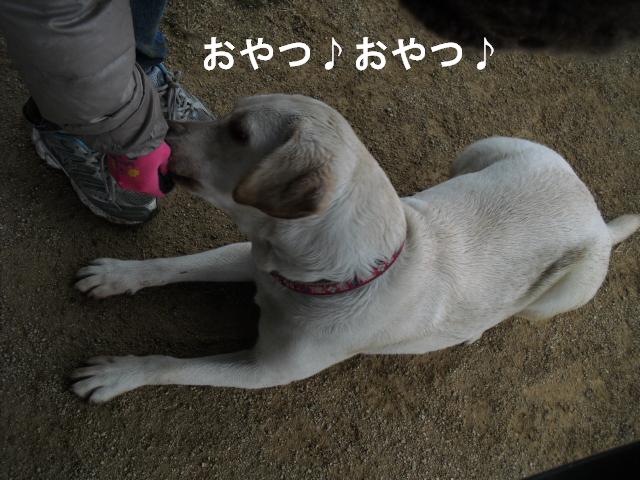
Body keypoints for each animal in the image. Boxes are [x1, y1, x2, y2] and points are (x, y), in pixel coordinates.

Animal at [71, 94, 639, 403]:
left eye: (239, 132)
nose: (164, 125)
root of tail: (594, 216)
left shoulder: (264, 371)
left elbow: (173, 364)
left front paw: (120, 373)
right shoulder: (255, 257)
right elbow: (182, 265)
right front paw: (118, 275)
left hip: (565, 292)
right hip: (482, 149)